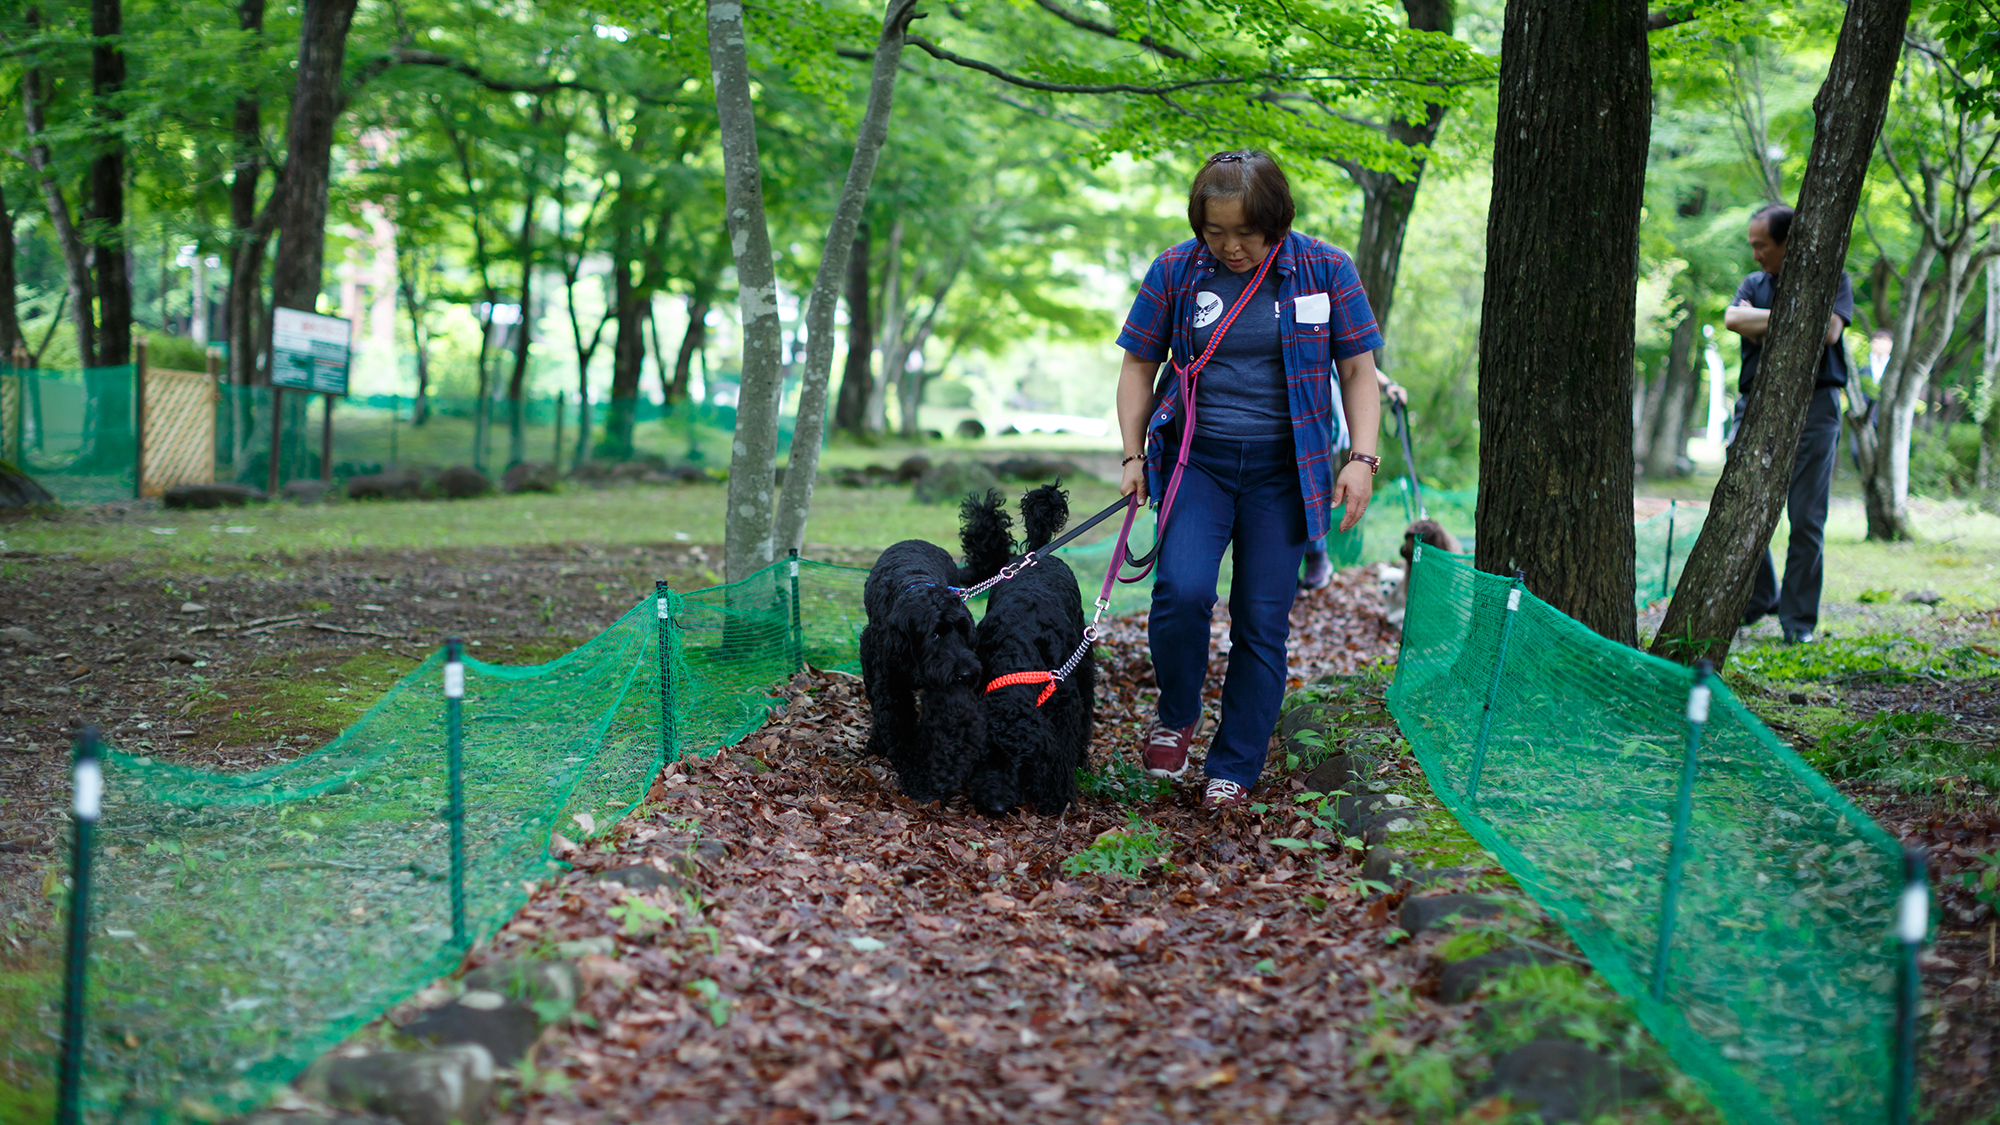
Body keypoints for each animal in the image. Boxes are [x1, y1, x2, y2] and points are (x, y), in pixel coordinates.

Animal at [856, 524, 988, 796]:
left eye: (964, 632)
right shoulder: (891, 686)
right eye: (935, 634)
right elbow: (901, 730)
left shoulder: (944, 689)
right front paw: (919, 780)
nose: (966, 674)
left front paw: (948, 767)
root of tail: (915, 540)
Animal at [956, 482, 1096, 812]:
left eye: (1020, 759)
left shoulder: (1064, 702)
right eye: (985, 756)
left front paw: (1056, 795)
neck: (1016, 659)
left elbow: (1062, 749)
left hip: (1084, 660)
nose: (994, 806)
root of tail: (1039, 552)